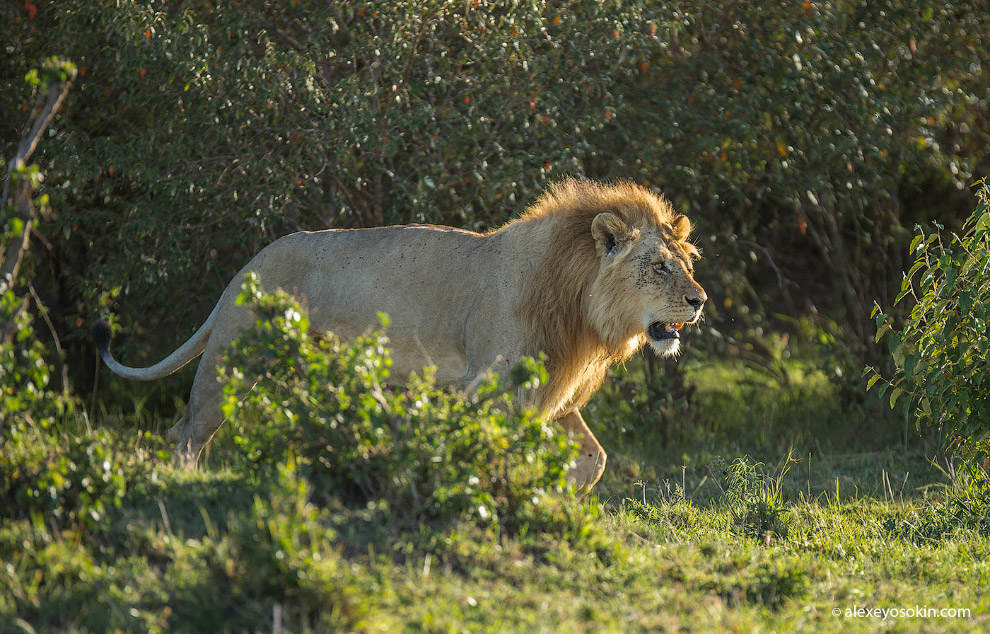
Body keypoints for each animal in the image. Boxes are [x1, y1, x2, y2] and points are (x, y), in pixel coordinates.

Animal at [93, 179, 708, 488]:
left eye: (686, 262)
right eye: (659, 267)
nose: (700, 301)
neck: (579, 305)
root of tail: (246, 266)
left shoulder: (549, 394)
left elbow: (594, 459)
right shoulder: (491, 388)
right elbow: (491, 454)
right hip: (231, 360)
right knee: (186, 434)